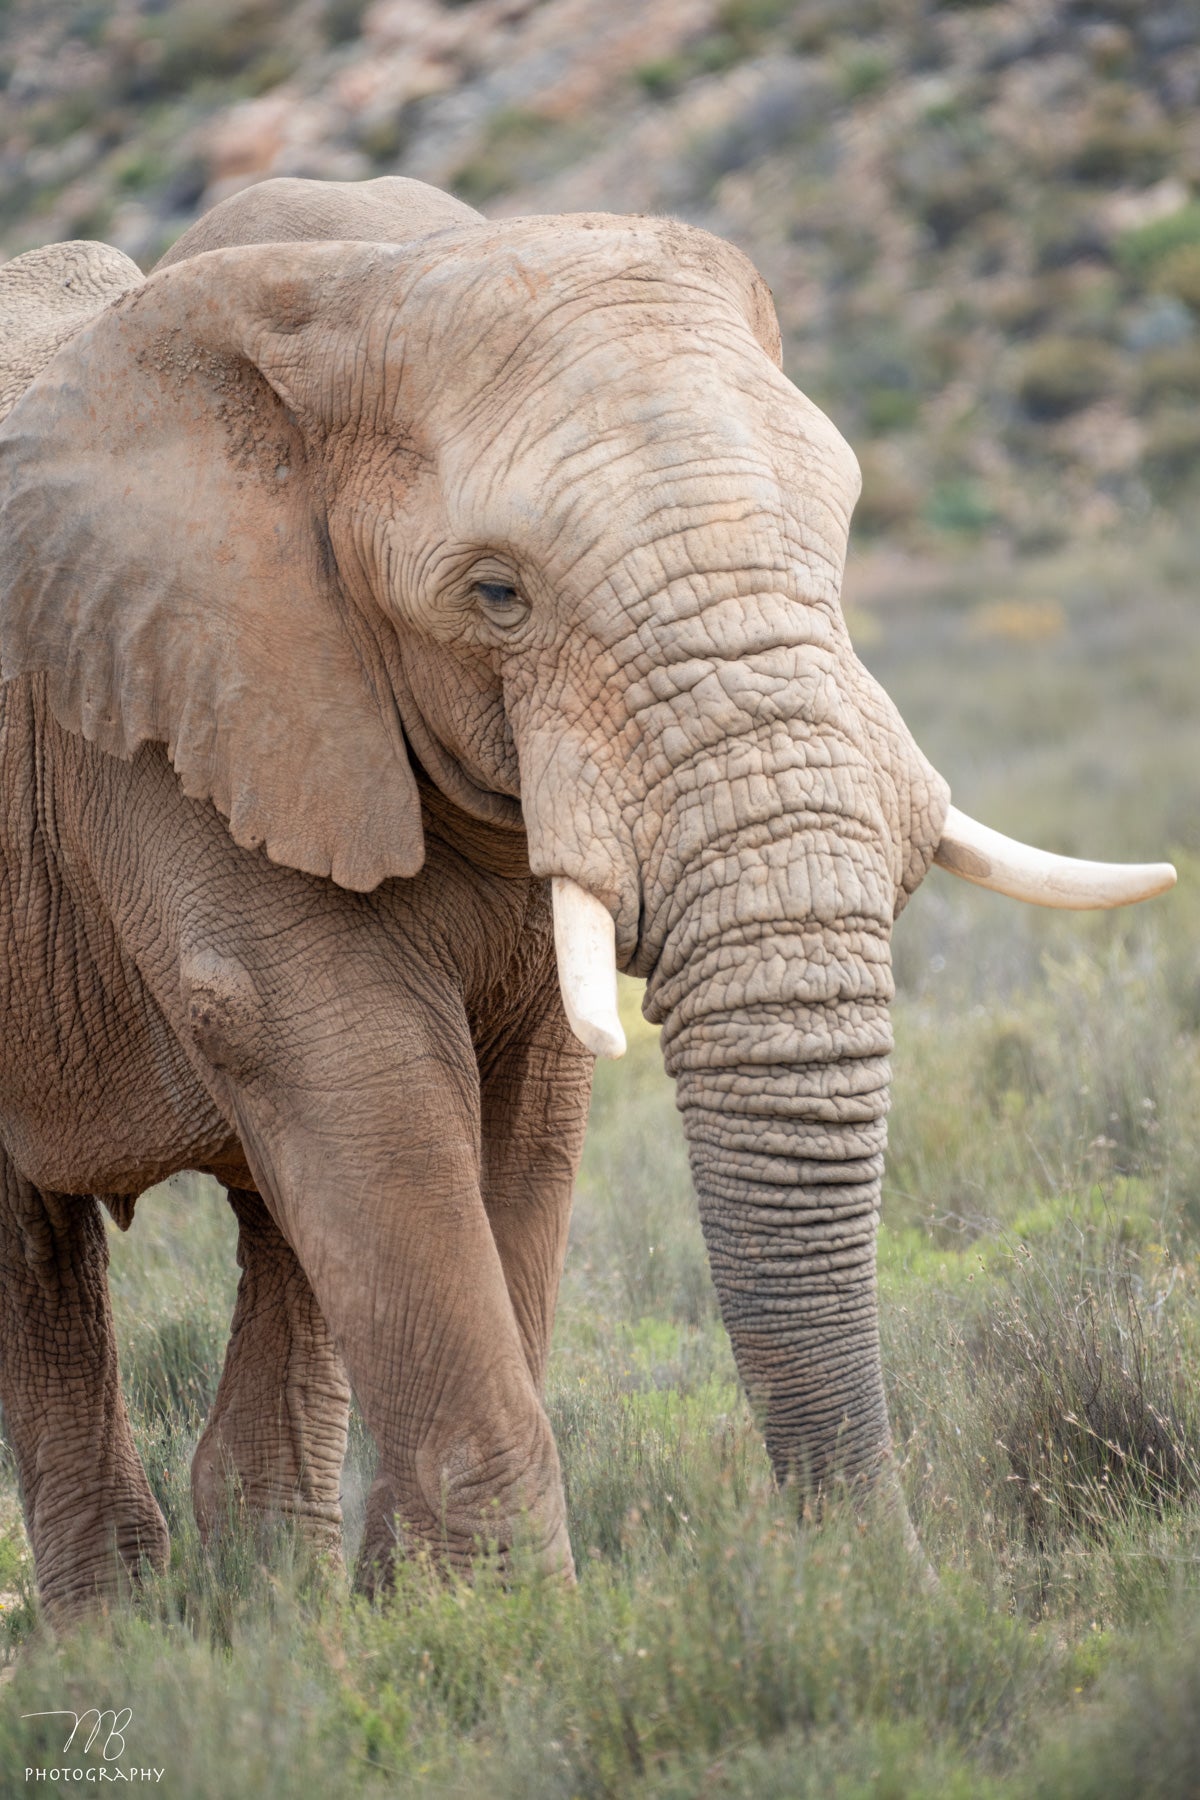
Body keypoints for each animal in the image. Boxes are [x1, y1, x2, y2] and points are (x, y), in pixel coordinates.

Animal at [0, 175, 1174, 1620]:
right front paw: (509, 1638)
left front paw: (437, 1624)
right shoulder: (185, 723)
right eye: (497, 593)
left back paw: (273, 1615)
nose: (884, 1592)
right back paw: (120, 1639)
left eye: (841, 534)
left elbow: (525, 1111)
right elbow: (356, 1077)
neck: (359, 279)